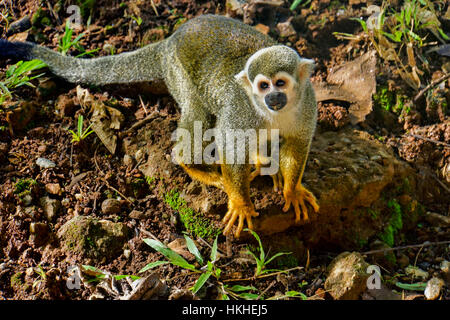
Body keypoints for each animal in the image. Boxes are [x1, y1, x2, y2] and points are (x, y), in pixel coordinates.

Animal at [0, 13, 318, 238]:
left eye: (280, 84)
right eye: (263, 86)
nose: (273, 98)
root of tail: (169, 40)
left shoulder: (308, 102)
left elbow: (298, 144)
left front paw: (291, 190)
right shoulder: (242, 108)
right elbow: (230, 144)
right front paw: (241, 203)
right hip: (176, 72)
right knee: (199, 113)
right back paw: (191, 164)